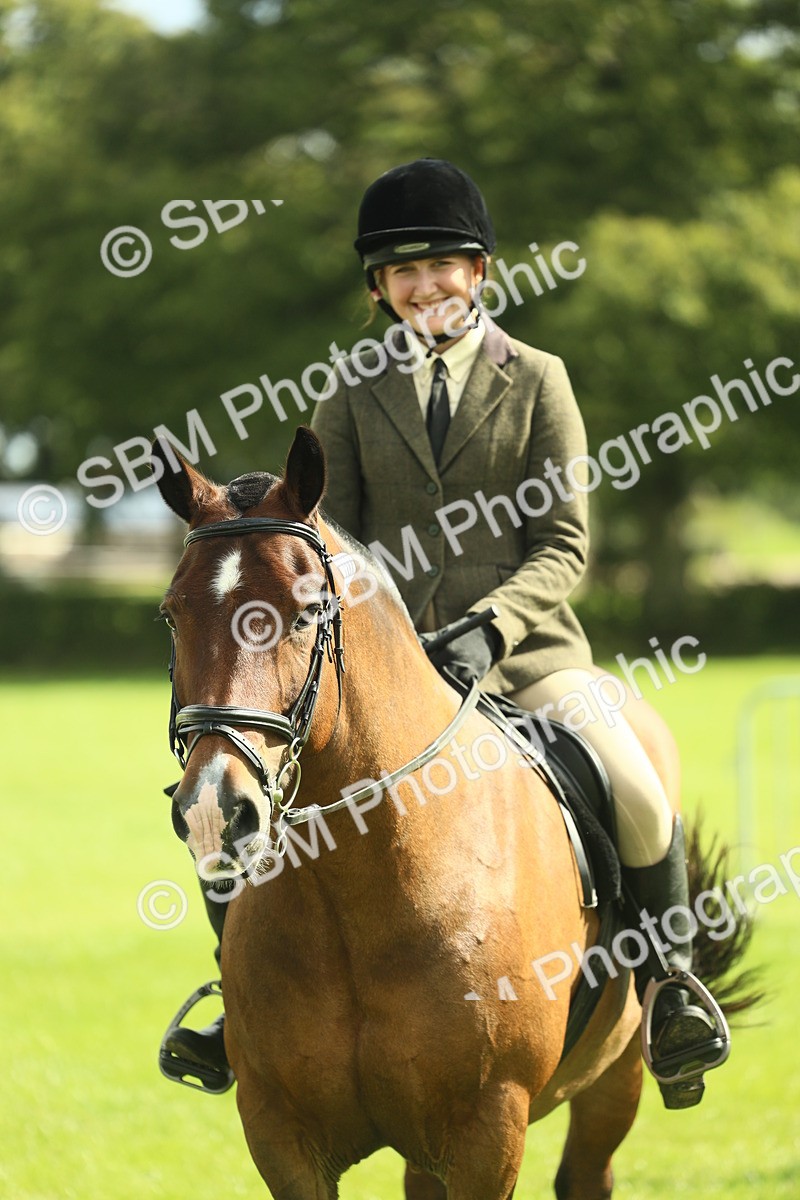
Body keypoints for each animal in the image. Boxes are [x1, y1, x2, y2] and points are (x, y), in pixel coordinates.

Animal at [153, 426, 755, 1200]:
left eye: (307, 611)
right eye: (173, 613)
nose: (215, 810)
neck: (359, 891)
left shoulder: (485, 1131)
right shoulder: (283, 1137)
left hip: (612, 1078)